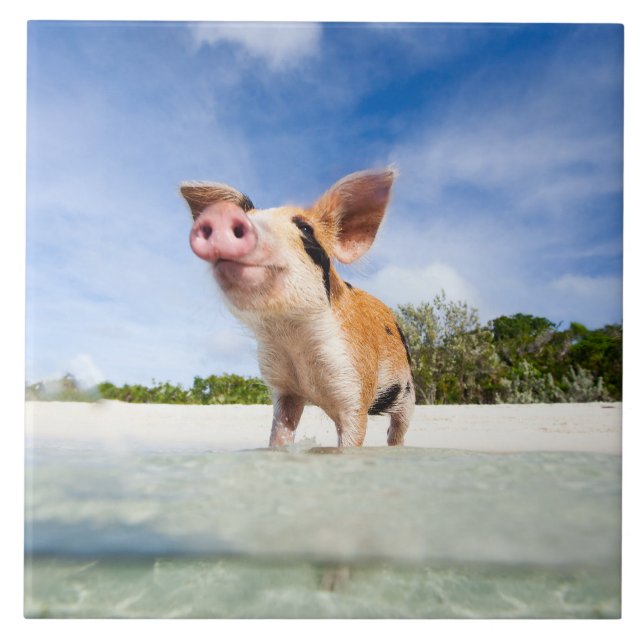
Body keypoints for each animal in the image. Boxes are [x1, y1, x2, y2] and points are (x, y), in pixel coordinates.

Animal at [181, 169, 414, 448]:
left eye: (305, 228)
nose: (221, 215)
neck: (293, 338)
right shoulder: (285, 390)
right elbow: (280, 432)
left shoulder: (355, 386)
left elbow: (353, 435)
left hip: (408, 389)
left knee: (397, 429)